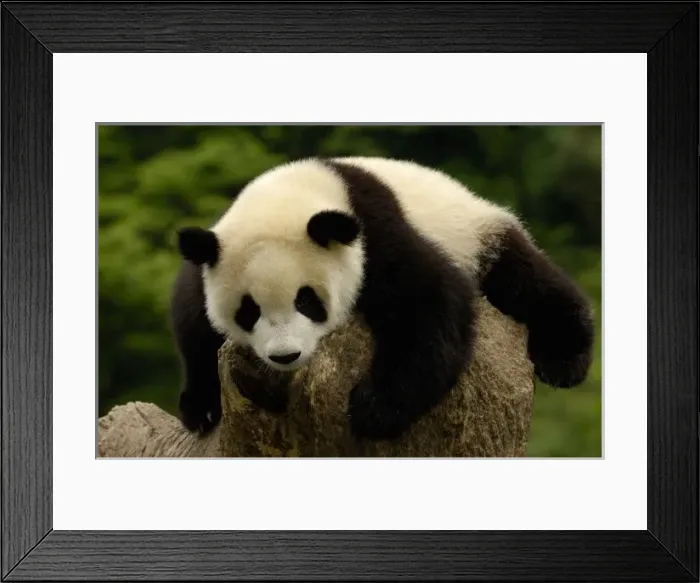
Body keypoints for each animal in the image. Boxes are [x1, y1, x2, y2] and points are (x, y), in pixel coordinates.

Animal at [171, 156, 594, 441]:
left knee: (528, 281)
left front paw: (374, 408)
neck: (293, 193)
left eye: (307, 300)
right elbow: (193, 322)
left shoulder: (375, 234)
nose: (285, 355)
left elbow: (430, 303)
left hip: (477, 236)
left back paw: (565, 360)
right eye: (249, 310)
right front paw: (202, 407)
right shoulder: (210, 254)